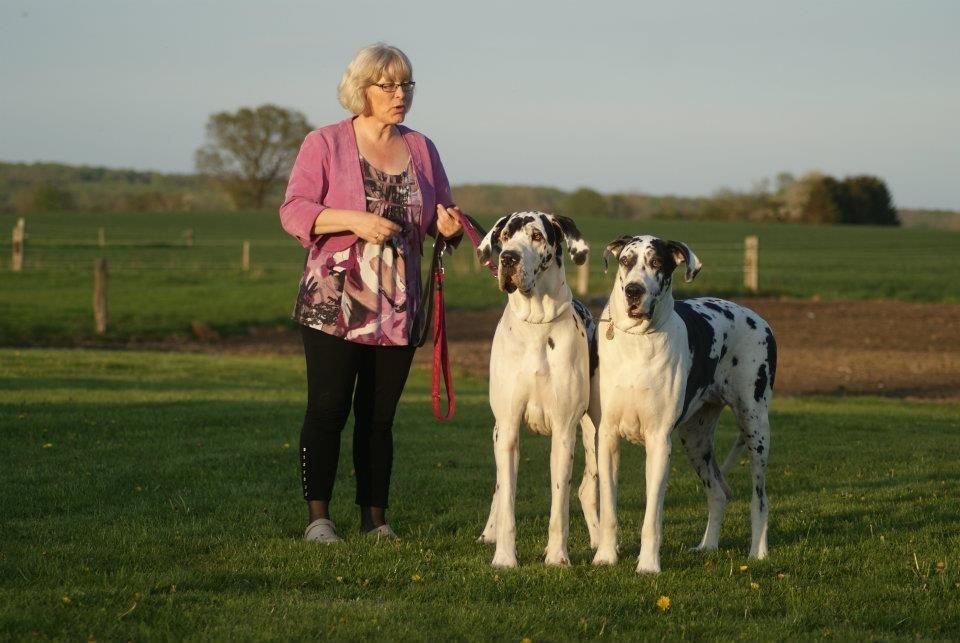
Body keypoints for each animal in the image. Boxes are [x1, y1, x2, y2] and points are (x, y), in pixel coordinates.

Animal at [474, 213, 600, 568]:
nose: (508, 259)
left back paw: (601, 542)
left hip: (595, 434)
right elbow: (507, 499)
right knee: (499, 488)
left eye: (536, 236)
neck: (536, 327)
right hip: (497, 433)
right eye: (504, 235)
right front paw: (504, 557)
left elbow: (560, 504)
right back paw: (489, 532)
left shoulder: (564, 432)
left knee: (588, 488)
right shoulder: (508, 429)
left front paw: (557, 556)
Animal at [592, 235, 780, 572]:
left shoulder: (658, 443)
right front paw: (605, 556)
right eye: (626, 261)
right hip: (695, 439)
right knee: (718, 492)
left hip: (755, 427)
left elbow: (652, 517)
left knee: (759, 498)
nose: (633, 291)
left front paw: (648, 565)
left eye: (657, 263)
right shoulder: (608, 437)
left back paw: (758, 552)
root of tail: (758, 317)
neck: (637, 343)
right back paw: (707, 546)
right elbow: (609, 507)